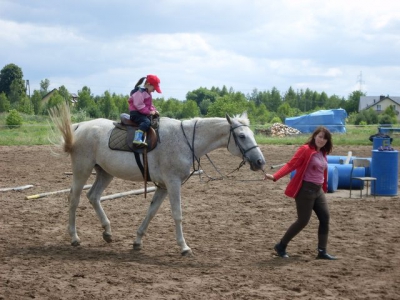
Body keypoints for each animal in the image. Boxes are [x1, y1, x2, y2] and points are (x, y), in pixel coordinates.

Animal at [50, 103, 268, 255]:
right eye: (242, 136)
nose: (260, 161)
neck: (185, 140)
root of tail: (79, 127)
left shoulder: (163, 186)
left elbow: (152, 212)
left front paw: (138, 241)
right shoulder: (173, 183)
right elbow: (177, 214)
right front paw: (184, 247)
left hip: (105, 173)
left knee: (93, 197)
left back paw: (107, 232)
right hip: (82, 170)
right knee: (74, 199)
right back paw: (74, 237)